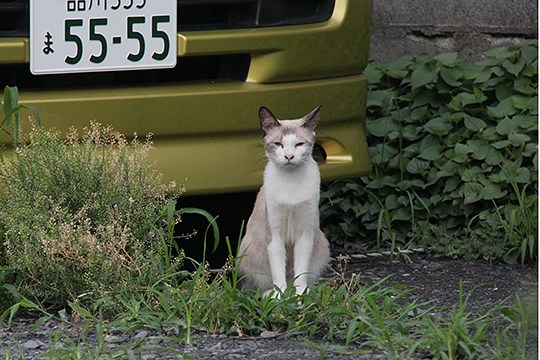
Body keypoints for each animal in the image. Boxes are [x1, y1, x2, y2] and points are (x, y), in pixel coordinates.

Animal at [238, 105, 332, 296]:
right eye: (278, 144)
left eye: (299, 144)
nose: (289, 156)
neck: (291, 181)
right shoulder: (274, 236)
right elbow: (278, 272)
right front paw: (281, 297)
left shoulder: (305, 233)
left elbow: (300, 272)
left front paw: (299, 296)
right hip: (247, 249)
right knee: (259, 286)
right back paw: (272, 294)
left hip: (322, 244)